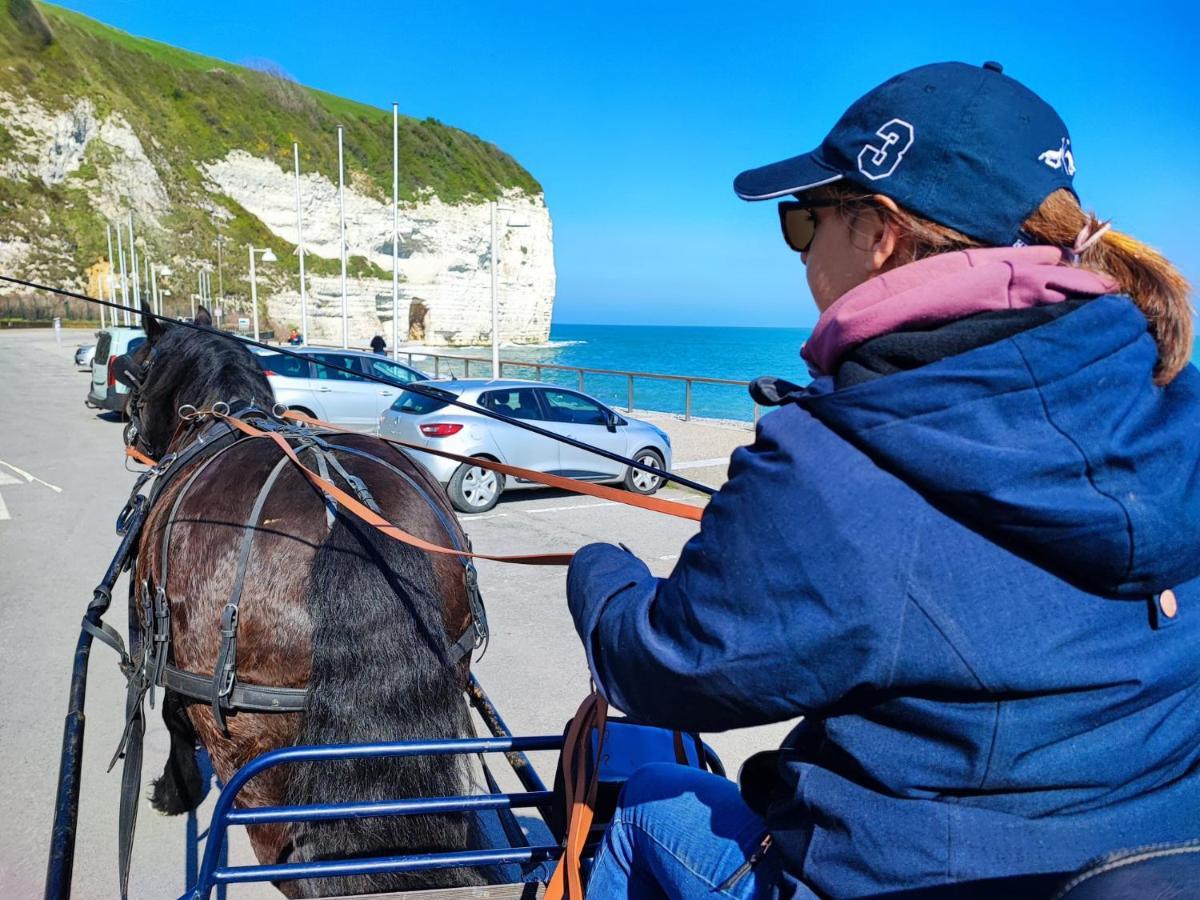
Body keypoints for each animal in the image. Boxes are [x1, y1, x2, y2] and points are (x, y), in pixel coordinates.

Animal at [120, 307, 487, 897]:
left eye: (139, 369)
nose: (132, 432)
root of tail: (352, 522)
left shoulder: (163, 650)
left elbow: (173, 716)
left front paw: (175, 791)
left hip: (254, 758)